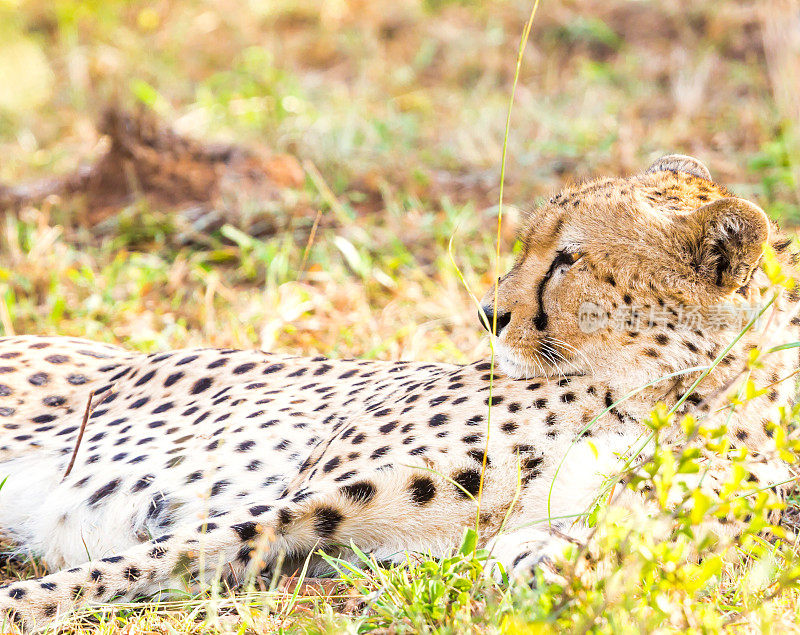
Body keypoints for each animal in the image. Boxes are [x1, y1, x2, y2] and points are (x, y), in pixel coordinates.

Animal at [0, 155, 796, 632]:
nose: (489, 313)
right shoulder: (309, 500)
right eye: (530, 244)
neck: (669, 391)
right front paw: (24, 605)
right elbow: (139, 560)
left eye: (569, 258)